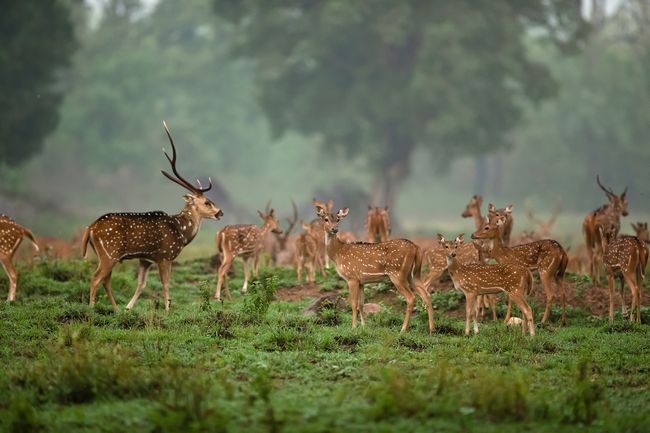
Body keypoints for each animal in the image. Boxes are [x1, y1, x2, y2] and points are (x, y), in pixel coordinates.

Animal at [81, 121, 223, 310]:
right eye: (207, 202)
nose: (220, 212)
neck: (182, 232)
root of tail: (90, 228)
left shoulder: (145, 259)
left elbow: (141, 284)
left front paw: (128, 308)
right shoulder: (165, 255)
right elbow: (166, 284)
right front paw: (168, 309)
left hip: (103, 254)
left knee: (106, 279)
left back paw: (116, 308)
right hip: (109, 253)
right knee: (96, 278)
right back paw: (91, 308)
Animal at [312, 204, 430, 332]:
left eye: (338, 219)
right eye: (326, 219)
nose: (334, 229)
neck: (338, 253)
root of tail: (416, 248)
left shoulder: (352, 277)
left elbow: (353, 304)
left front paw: (353, 327)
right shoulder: (361, 281)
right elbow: (361, 304)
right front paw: (364, 326)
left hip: (398, 274)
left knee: (411, 298)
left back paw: (403, 329)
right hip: (413, 274)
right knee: (426, 295)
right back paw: (431, 329)